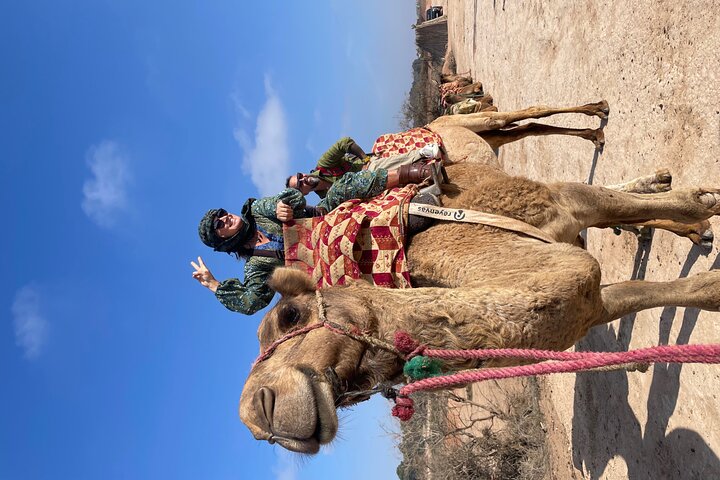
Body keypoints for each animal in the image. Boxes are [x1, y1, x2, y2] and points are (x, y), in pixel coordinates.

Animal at [239, 162, 720, 454]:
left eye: (289, 316)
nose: (260, 415)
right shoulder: (588, 302)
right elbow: (647, 291)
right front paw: (709, 289)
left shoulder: (564, 222)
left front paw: (703, 204)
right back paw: (685, 223)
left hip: (538, 196)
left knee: (615, 201)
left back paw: (692, 208)